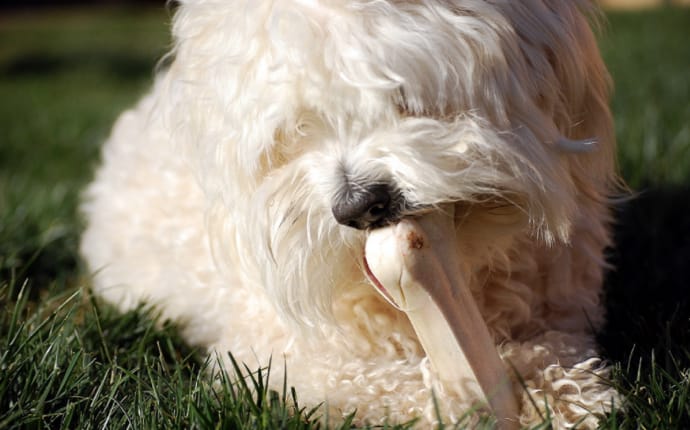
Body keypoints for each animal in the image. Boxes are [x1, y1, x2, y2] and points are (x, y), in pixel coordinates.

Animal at [80, 0, 620, 426]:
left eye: (401, 95)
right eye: (295, 132)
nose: (361, 206)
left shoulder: (559, 310)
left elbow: (553, 350)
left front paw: (561, 397)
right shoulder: (285, 356)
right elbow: (370, 383)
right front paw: (454, 400)